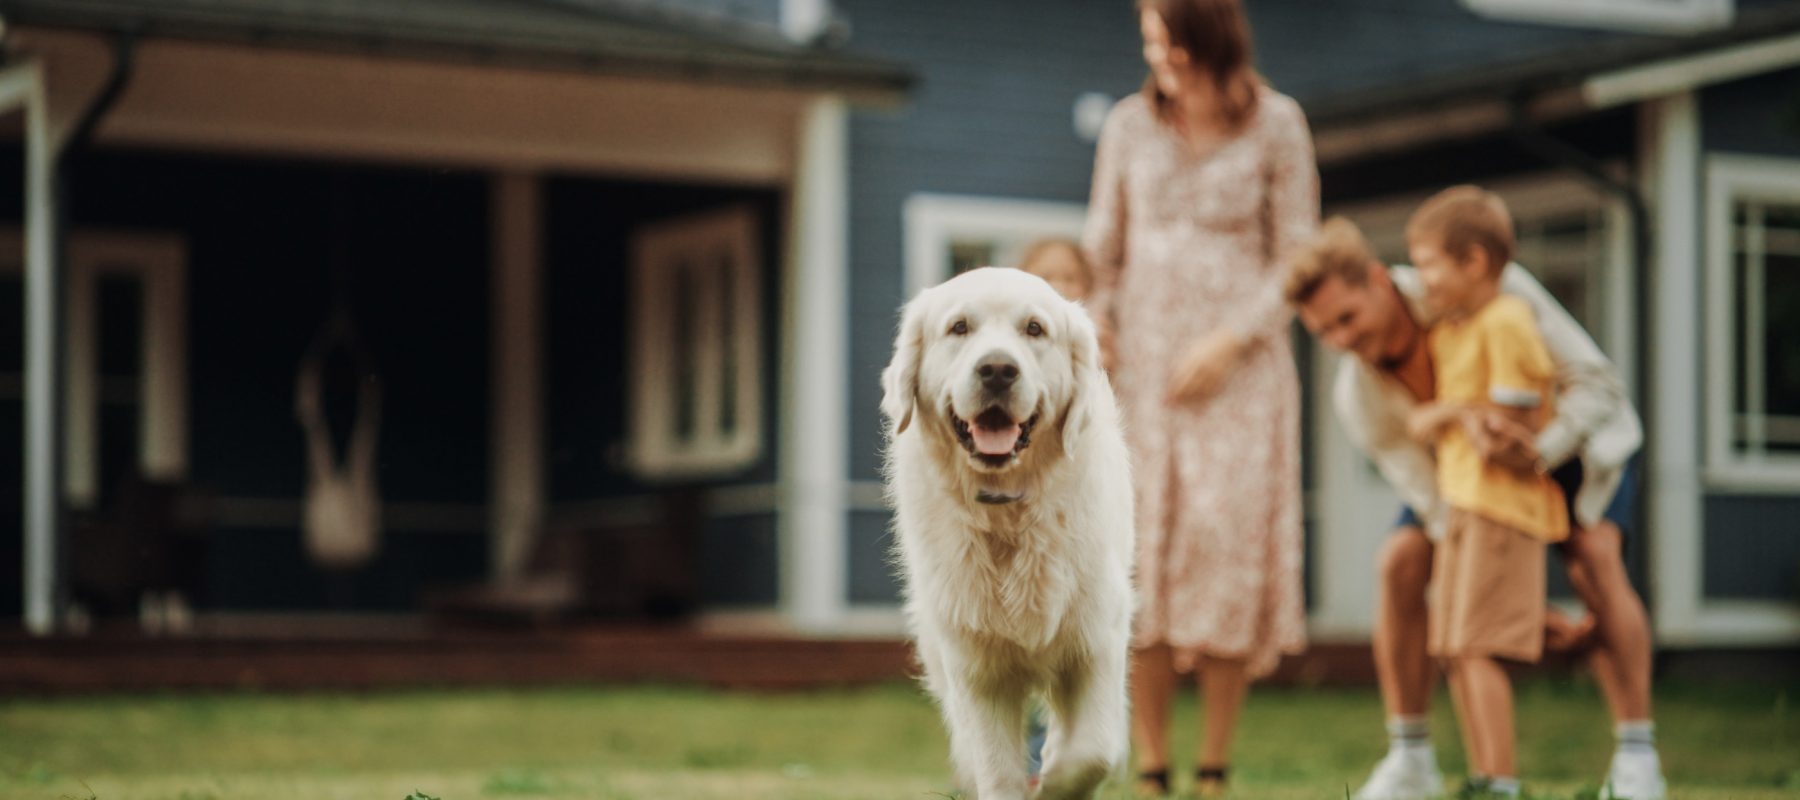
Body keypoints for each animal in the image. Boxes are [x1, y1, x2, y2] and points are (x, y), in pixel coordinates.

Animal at [878, 268, 1130, 800]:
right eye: (959, 327)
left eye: (1034, 329)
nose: (997, 369)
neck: (1007, 516)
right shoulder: (977, 670)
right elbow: (997, 770)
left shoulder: (1098, 640)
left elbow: (1091, 752)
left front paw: (1054, 781)